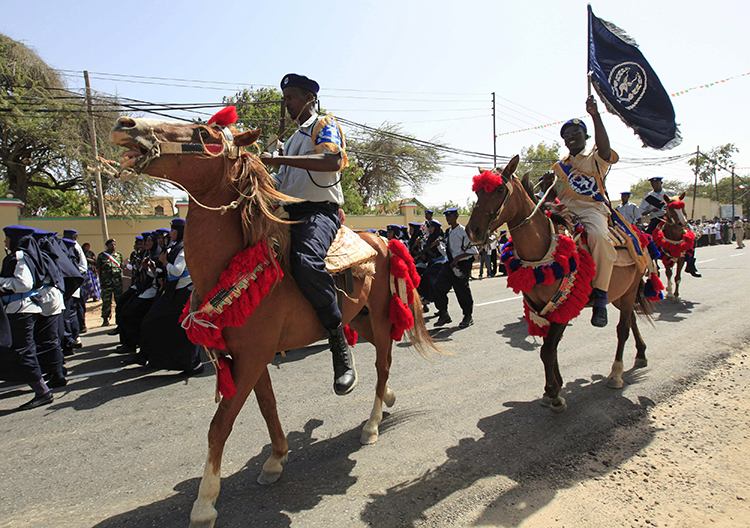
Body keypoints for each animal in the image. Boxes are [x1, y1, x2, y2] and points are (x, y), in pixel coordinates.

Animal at [109, 115, 438, 528]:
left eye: (204, 133)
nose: (126, 123)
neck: (237, 260)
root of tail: (382, 240)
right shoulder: (247, 357)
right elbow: (267, 406)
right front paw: (276, 458)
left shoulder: (252, 356)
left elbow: (220, 425)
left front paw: (205, 501)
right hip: (360, 318)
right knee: (379, 361)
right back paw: (389, 399)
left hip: (378, 318)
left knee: (382, 364)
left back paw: (372, 422)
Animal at [468, 156, 656, 412]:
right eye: (477, 191)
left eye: (498, 189)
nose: (473, 231)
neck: (543, 250)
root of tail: (637, 233)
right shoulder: (540, 308)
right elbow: (550, 348)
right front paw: (554, 386)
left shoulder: (563, 305)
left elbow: (548, 349)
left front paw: (554, 393)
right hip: (619, 294)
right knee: (632, 321)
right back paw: (641, 354)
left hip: (628, 293)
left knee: (622, 329)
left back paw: (616, 374)